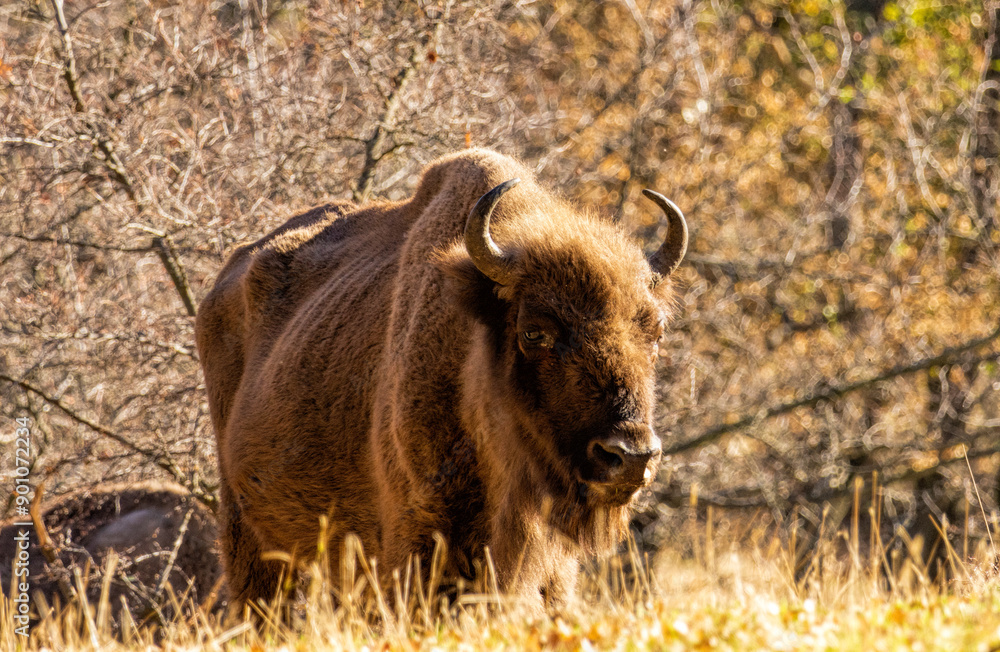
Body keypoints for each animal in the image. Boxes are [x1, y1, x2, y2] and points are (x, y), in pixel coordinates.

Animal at [196, 149, 688, 612]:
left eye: (657, 331)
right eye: (534, 332)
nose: (630, 456)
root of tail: (225, 280)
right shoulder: (419, 539)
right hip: (248, 533)